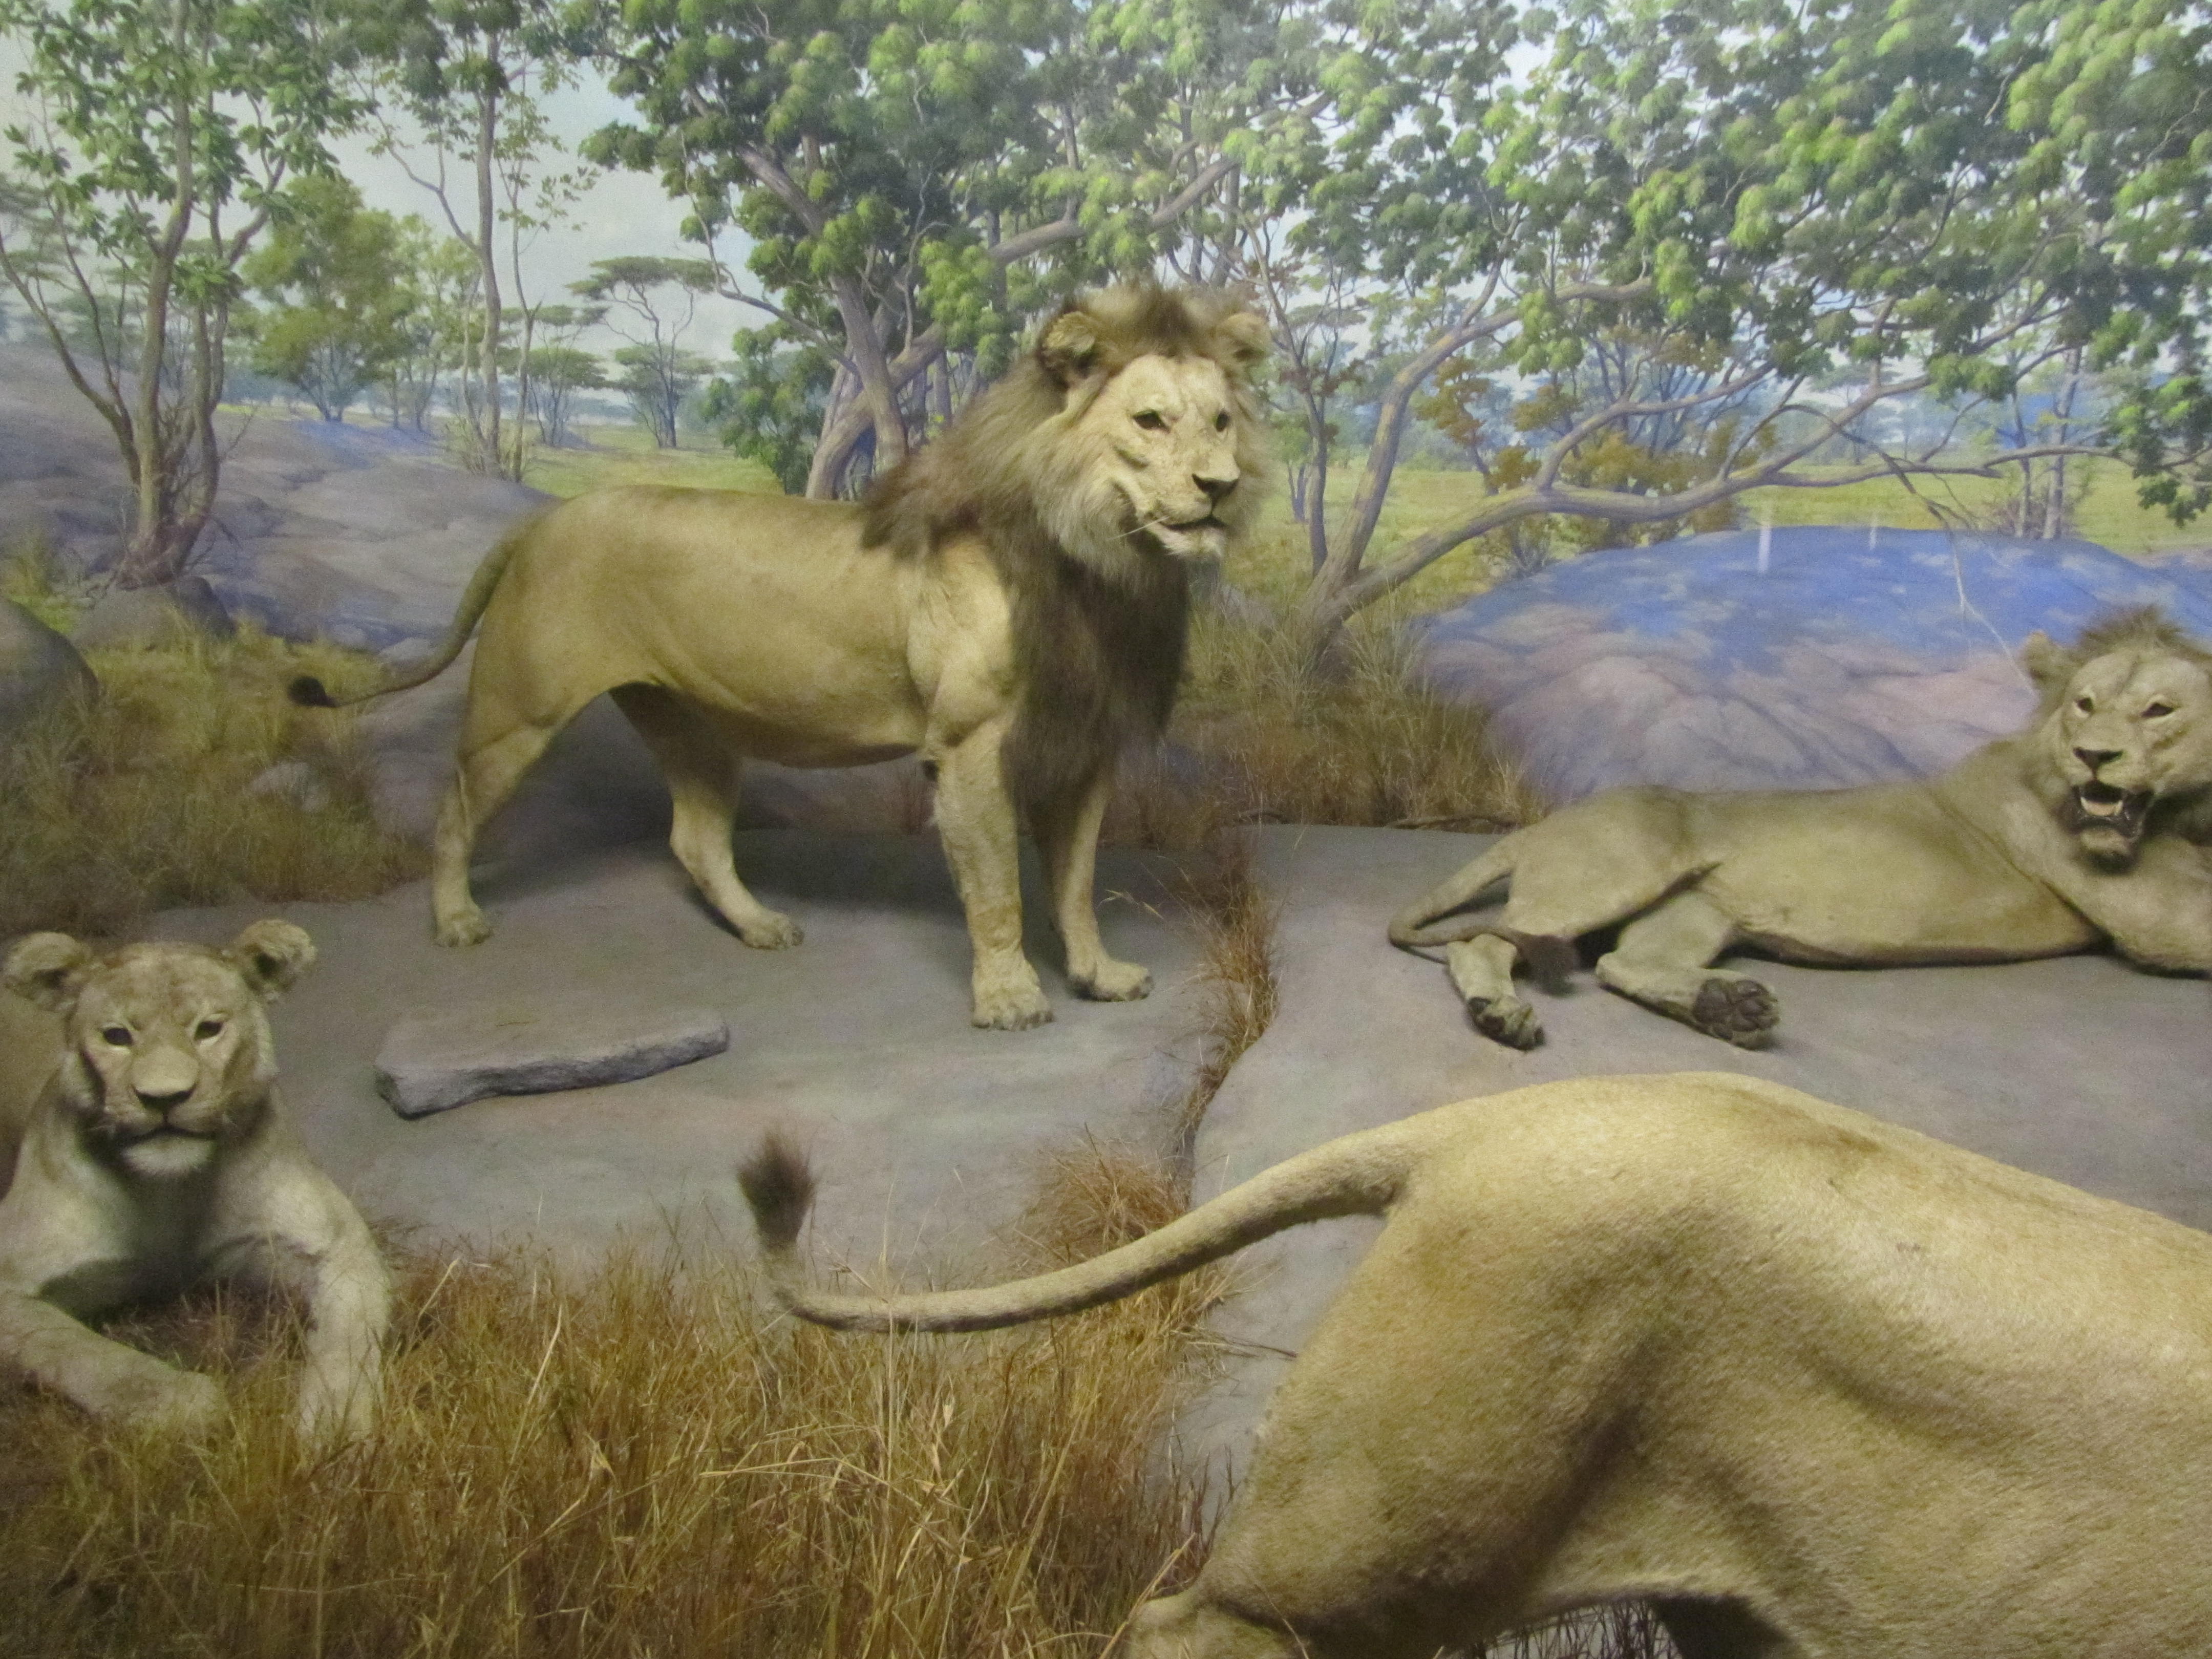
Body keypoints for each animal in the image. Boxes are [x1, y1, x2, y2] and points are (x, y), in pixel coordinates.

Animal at [0, 923, 389, 1441]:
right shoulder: (12, 1280)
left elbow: (349, 1339)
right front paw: (184, 1402)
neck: (170, 1192)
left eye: (208, 1029)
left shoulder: (339, 1245)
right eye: (117, 1036)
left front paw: (336, 1423)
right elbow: (76, 1350)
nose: (164, 1098)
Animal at [292, 287, 1270, 1030]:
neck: (1102, 569)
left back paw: (760, 926)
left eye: (1224, 423)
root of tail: (541, 518)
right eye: (1151, 421)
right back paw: (457, 919)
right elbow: (998, 886)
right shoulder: (968, 746)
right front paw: (1010, 998)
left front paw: (1099, 976)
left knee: (693, 839)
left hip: (692, 724)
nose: (1221, 489)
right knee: (454, 810)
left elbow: (1074, 883)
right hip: (518, 711)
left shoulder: (1086, 748)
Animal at [1389, 607, 2212, 1049]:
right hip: (1613, 876)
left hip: (1695, 909)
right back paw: (1502, 1012)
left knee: (1626, 964)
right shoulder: (2162, 920)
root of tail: (1544, 826)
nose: (2094, 756)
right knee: (1485, 940)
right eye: (2085, 703)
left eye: (2159, 710)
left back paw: (1729, 1008)